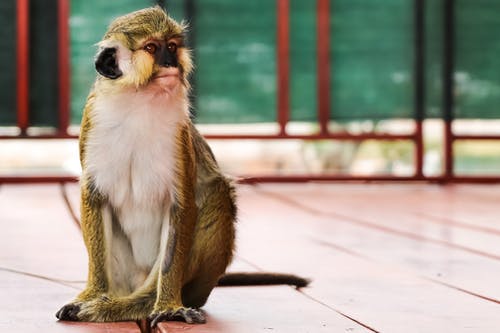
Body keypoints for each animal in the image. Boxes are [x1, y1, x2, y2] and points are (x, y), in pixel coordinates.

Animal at [56, 6, 308, 326]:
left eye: (173, 46)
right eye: (152, 48)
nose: (170, 63)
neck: (139, 102)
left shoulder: (179, 139)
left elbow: (182, 205)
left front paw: (167, 305)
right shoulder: (93, 123)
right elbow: (94, 197)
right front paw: (91, 294)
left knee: (217, 191)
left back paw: (143, 303)